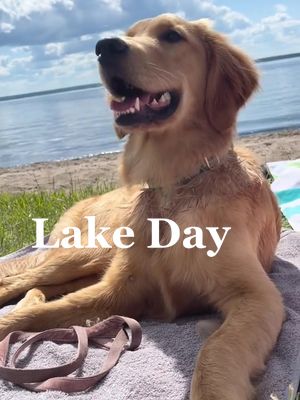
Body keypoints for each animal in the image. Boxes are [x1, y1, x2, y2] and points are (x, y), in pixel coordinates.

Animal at [0, 13, 284, 400]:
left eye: (172, 35)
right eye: (129, 34)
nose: (104, 46)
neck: (174, 187)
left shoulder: (256, 295)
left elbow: (216, 350)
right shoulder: (117, 290)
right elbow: (24, 318)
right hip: (86, 253)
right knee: (21, 280)